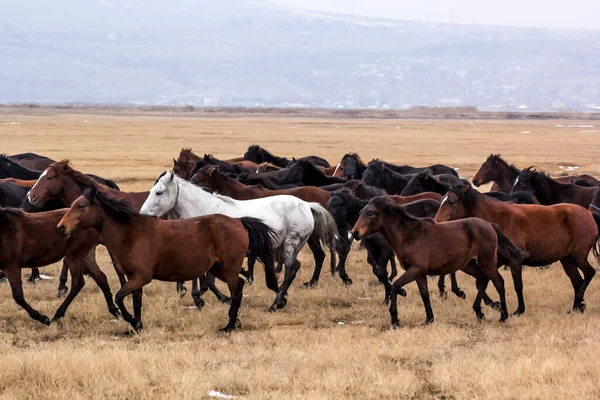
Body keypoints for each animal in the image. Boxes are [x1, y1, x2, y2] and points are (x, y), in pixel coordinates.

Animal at [56, 188, 276, 334]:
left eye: (81, 206)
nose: (61, 227)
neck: (131, 233)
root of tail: (238, 222)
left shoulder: (142, 276)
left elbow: (119, 297)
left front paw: (130, 320)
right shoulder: (134, 278)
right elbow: (136, 302)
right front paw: (136, 326)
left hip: (228, 268)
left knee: (236, 291)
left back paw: (229, 326)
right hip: (217, 269)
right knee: (239, 285)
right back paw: (234, 322)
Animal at [139, 170, 338, 310]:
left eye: (159, 192)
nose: (142, 215)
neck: (205, 213)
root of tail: (306, 205)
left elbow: (209, 281)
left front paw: (220, 299)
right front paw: (198, 298)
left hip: (291, 243)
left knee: (292, 268)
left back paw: (276, 303)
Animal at [352, 195, 524, 326]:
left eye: (371, 213)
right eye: (360, 212)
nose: (355, 233)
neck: (409, 236)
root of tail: (490, 225)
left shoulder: (416, 269)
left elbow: (395, 286)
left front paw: (395, 319)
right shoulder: (419, 274)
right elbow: (424, 295)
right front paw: (429, 319)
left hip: (486, 262)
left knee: (498, 282)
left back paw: (503, 315)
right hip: (468, 265)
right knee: (482, 280)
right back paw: (479, 312)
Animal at [436, 185, 600, 316]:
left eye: (452, 202)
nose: (437, 223)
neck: (497, 220)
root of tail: (589, 215)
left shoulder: (514, 261)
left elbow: (517, 285)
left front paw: (518, 310)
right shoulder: (492, 262)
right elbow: (482, 281)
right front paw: (494, 304)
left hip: (578, 257)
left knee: (589, 274)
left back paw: (578, 302)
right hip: (567, 261)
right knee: (577, 281)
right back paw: (577, 307)